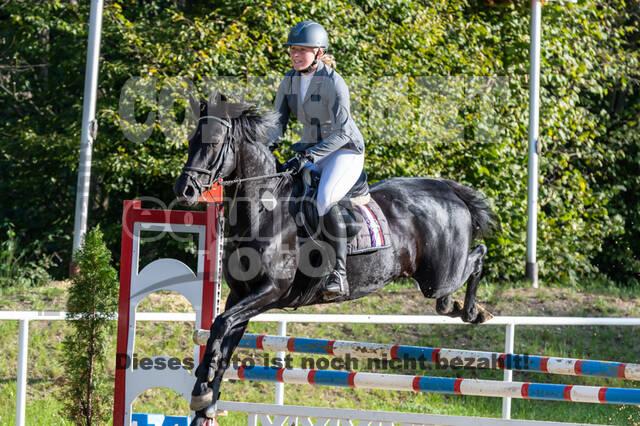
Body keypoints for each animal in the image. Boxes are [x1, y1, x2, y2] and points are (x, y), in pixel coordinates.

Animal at [172, 94, 492, 426]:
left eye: (213, 143)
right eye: (191, 140)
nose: (184, 190)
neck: (263, 212)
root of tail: (448, 190)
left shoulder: (270, 292)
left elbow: (221, 325)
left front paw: (203, 385)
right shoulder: (240, 294)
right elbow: (223, 341)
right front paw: (204, 404)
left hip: (439, 276)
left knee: (477, 258)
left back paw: (474, 311)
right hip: (434, 278)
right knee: (448, 293)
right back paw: (458, 307)